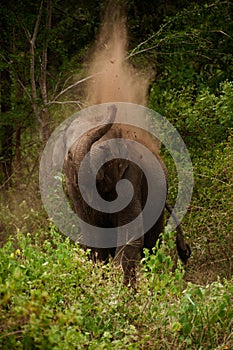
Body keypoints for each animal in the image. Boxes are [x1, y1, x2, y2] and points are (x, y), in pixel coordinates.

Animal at [62, 104, 190, 284]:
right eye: (69, 155)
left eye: (106, 152)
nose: (112, 106)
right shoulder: (74, 189)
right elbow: (94, 237)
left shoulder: (132, 176)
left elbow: (131, 235)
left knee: (150, 244)